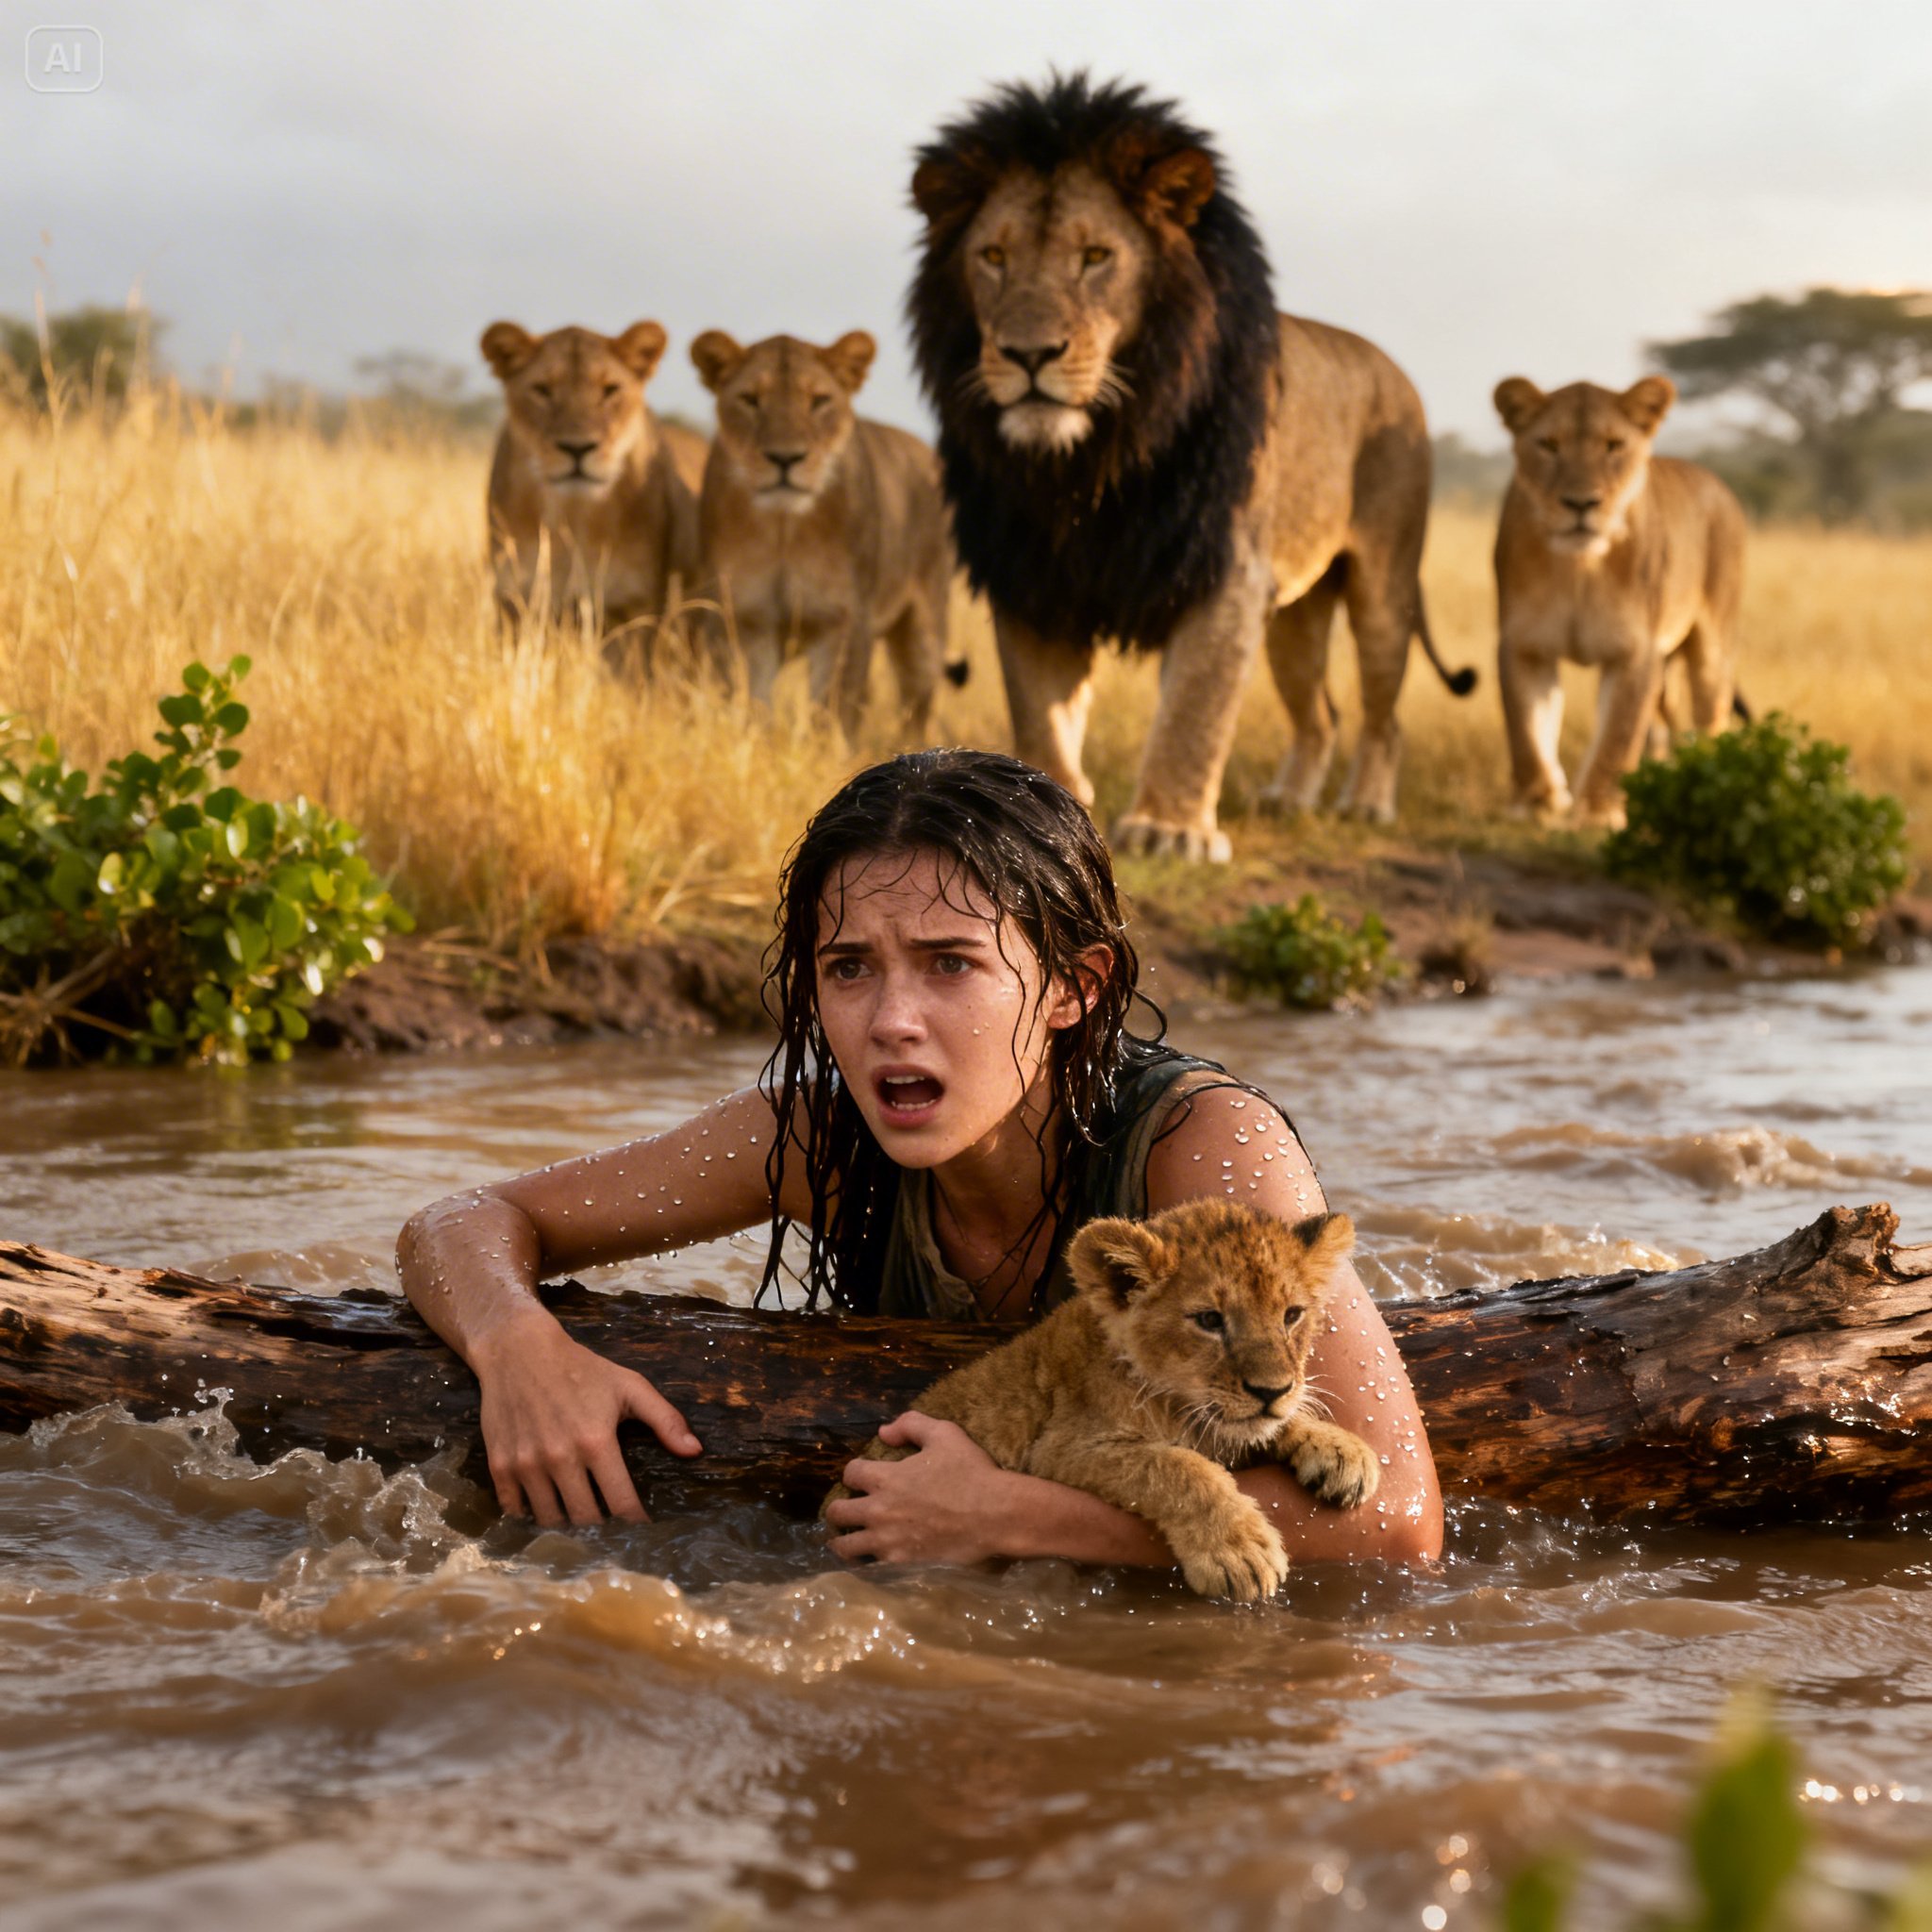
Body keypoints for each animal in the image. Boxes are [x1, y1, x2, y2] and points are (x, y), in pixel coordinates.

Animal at [480, 320, 699, 651]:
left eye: (610, 389)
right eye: (542, 389)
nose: (577, 448)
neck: (573, 516)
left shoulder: (634, 608)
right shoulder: (515, 600)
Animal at [690, 328, 963, 741]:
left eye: (819, 400)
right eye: (750, 400)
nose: (785, 458)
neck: (784, 527)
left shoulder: (845, 620)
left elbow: (832, 712)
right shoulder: (745, 619)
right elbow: (754, 705)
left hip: (925, 630)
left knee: (918, 706)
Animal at [824, 1200, 1377, 1601]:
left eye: (1291, 1315)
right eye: (1209, 1320)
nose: (1271, 1391)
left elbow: (1267, 1426)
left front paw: (1343, 1453)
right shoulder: (1060, 1449)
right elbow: (1179, 1467)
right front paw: (1237, 1553)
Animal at [908, 75, 1475, 857]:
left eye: (1095, 256)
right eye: (993, 256)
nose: (1028, 355)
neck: (1089, 461)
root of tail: (1397, 374)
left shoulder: (1224, 569)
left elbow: (1195, 711)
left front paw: (1168, 830)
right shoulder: (1033, 577)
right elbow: (1040, 716)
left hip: (1382, 588)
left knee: (1383, 716)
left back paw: (1364, 805)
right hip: (1295, 616)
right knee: (1320, 713)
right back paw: (1289, 799)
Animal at [1493, 374, 1747, 828]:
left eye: (1613, 446)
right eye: (1549, 445)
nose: (1581, 503)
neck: (1580, 568)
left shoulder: (1635, 651)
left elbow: (1618, 735)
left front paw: (1597, 812)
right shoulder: (1524, 644)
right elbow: (1526, 728)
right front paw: (1538, 802)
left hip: (1712, 649)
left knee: (1710, 717)